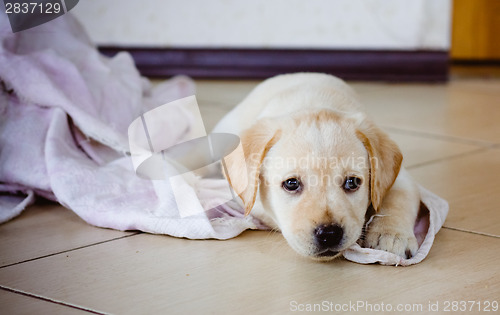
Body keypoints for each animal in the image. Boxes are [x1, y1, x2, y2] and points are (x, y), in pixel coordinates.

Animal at [213, 73, 420, 262]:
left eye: (352, 183)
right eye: (291, 184)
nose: (329, 234)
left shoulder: (400, 177)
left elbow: (398, 197)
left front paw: (392, 234)